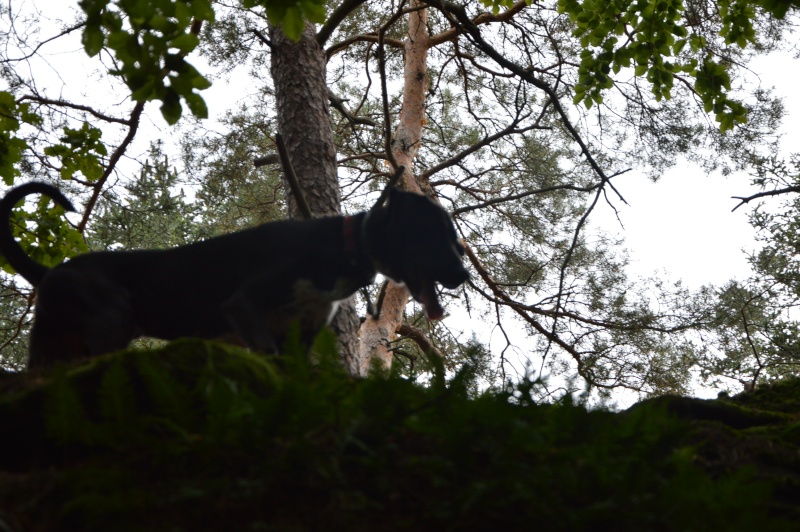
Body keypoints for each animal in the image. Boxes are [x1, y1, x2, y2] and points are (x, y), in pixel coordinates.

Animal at [0, 181, 468, 368]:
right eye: (436, 233)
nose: (464, 275)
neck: (344, 246)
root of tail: (51, 273)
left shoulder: (300, 335)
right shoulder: (244, 308)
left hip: (55, 348)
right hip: (109, 324)